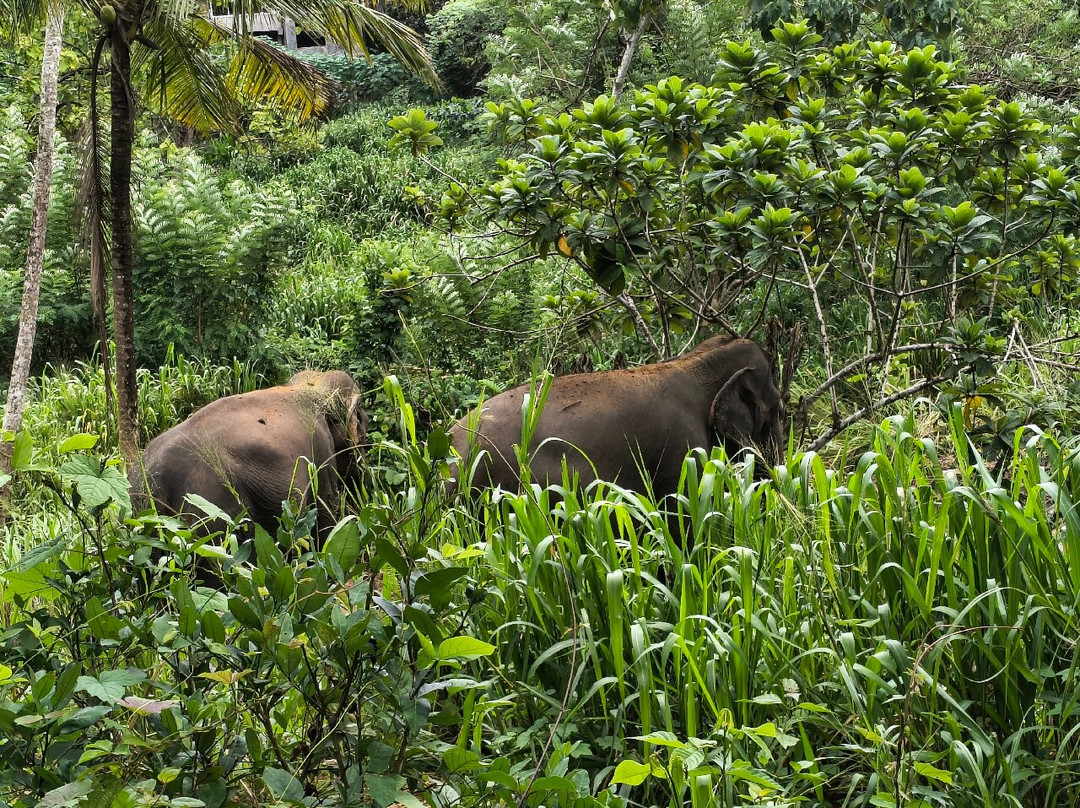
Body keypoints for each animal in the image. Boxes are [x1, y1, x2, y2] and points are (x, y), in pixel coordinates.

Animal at [129, 370, 366, 540]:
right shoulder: (321, 450)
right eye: (363, 426)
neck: (311, 386)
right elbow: (325, 518)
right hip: (212, 514)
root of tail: (155, 481)